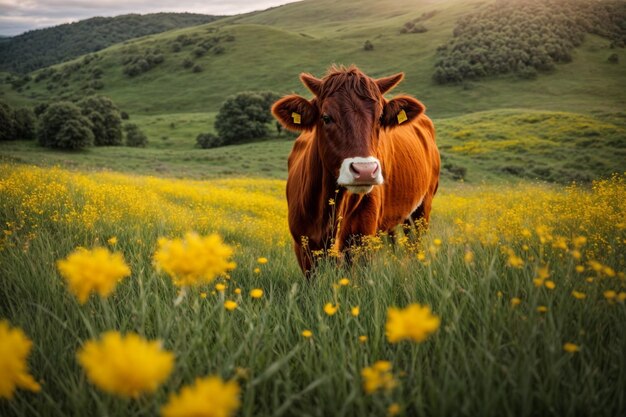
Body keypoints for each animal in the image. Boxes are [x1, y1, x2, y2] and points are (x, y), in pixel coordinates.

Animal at [272, 64, 438, 272]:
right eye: (326, 117)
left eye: (380, 118)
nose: (365, 171)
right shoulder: (303, 247)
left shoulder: (361, 242)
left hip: (424, 205)